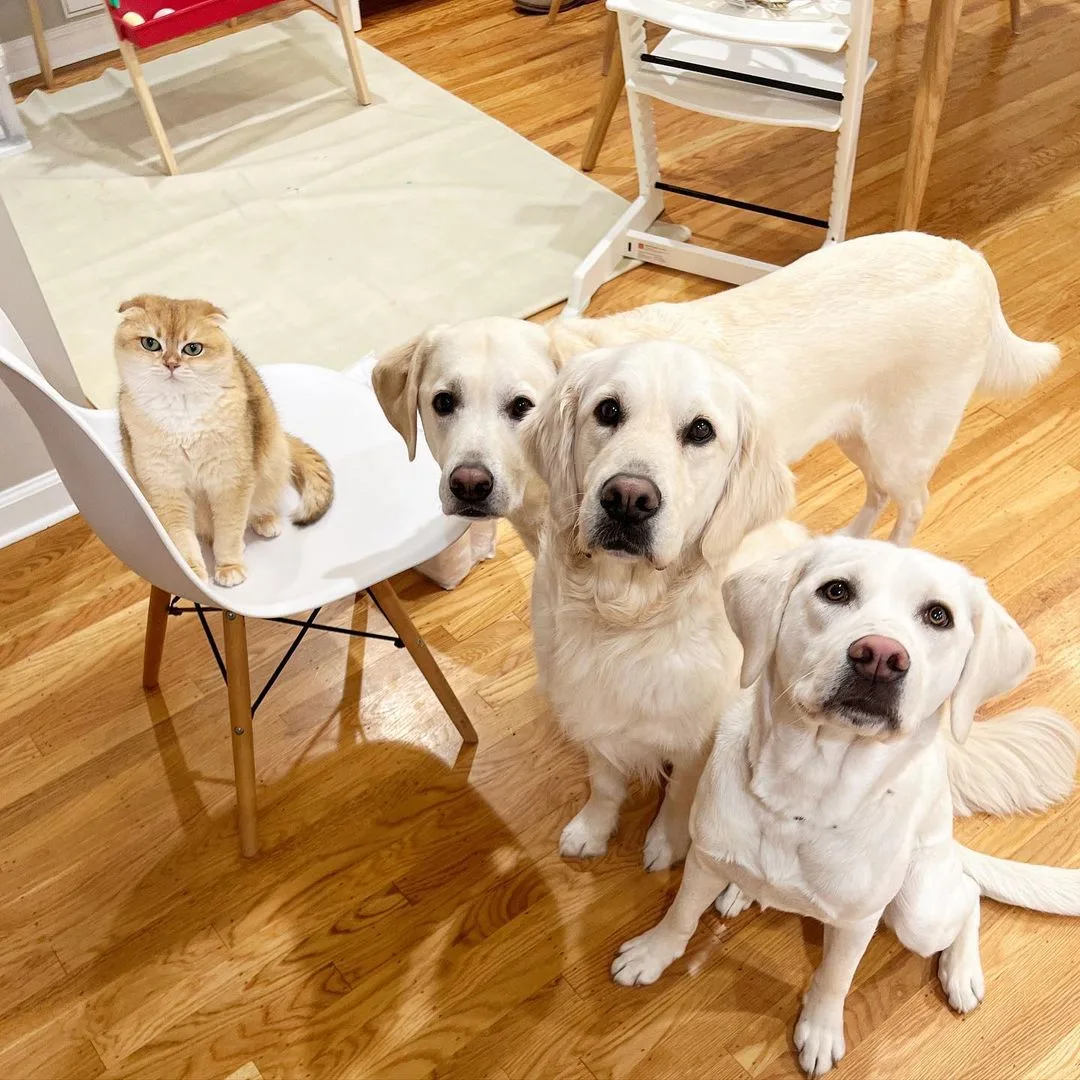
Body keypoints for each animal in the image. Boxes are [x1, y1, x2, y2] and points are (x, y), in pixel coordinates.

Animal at [115, 295, 330, 587]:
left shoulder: (230, 481)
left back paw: (264, 521)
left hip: (271, 459)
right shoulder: (165, 488)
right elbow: (182, 538)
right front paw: (193, 572)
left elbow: (229, 530)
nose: (171, 364)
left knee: (258, 504)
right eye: (150, 343)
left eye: (193, 348)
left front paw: (229, 567)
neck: (181, 416)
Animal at [613, 535, 1075, 1075]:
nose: (881, 656)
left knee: (968, 894)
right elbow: (681, 915)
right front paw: (651, 955)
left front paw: (819, 1030)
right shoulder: (705, 860)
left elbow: (835, 978)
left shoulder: (857, 923)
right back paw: (740, 892)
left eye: (938, 616)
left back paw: (961, 972)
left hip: (919, 911)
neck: (802, 798)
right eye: (835, 590)